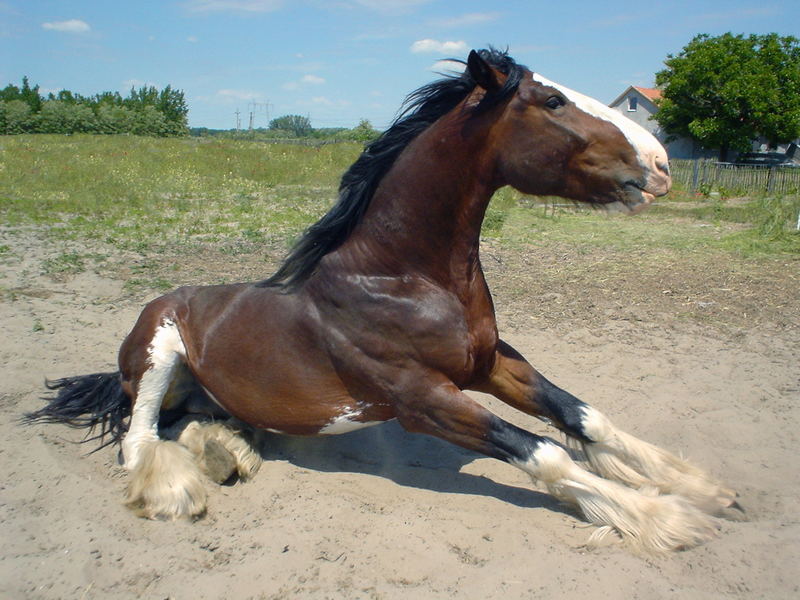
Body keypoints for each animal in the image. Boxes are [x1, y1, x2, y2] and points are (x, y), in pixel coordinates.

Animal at [25, 48, 736, 552]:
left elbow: (585, 418)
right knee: (141, 438)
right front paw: (665, 517)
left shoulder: (491, 364)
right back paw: (179, 490)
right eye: (553, 100)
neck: (400, 279)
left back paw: (234, 452)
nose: (660, 165)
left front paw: (704, 489)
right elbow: (546, 452)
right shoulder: (423, 400)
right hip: (158, 356)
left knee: (209, 423)